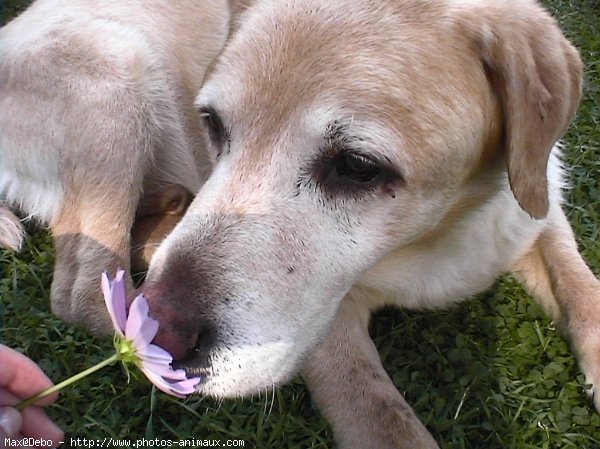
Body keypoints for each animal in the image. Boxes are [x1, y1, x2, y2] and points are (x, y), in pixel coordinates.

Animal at [137, 0, 600, 448]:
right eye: (213, 123)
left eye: (358, 165)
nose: (154, 334)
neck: (437, 234)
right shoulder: (331, 329)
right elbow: (388, 421)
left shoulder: (535, 209)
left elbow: (582, 289)